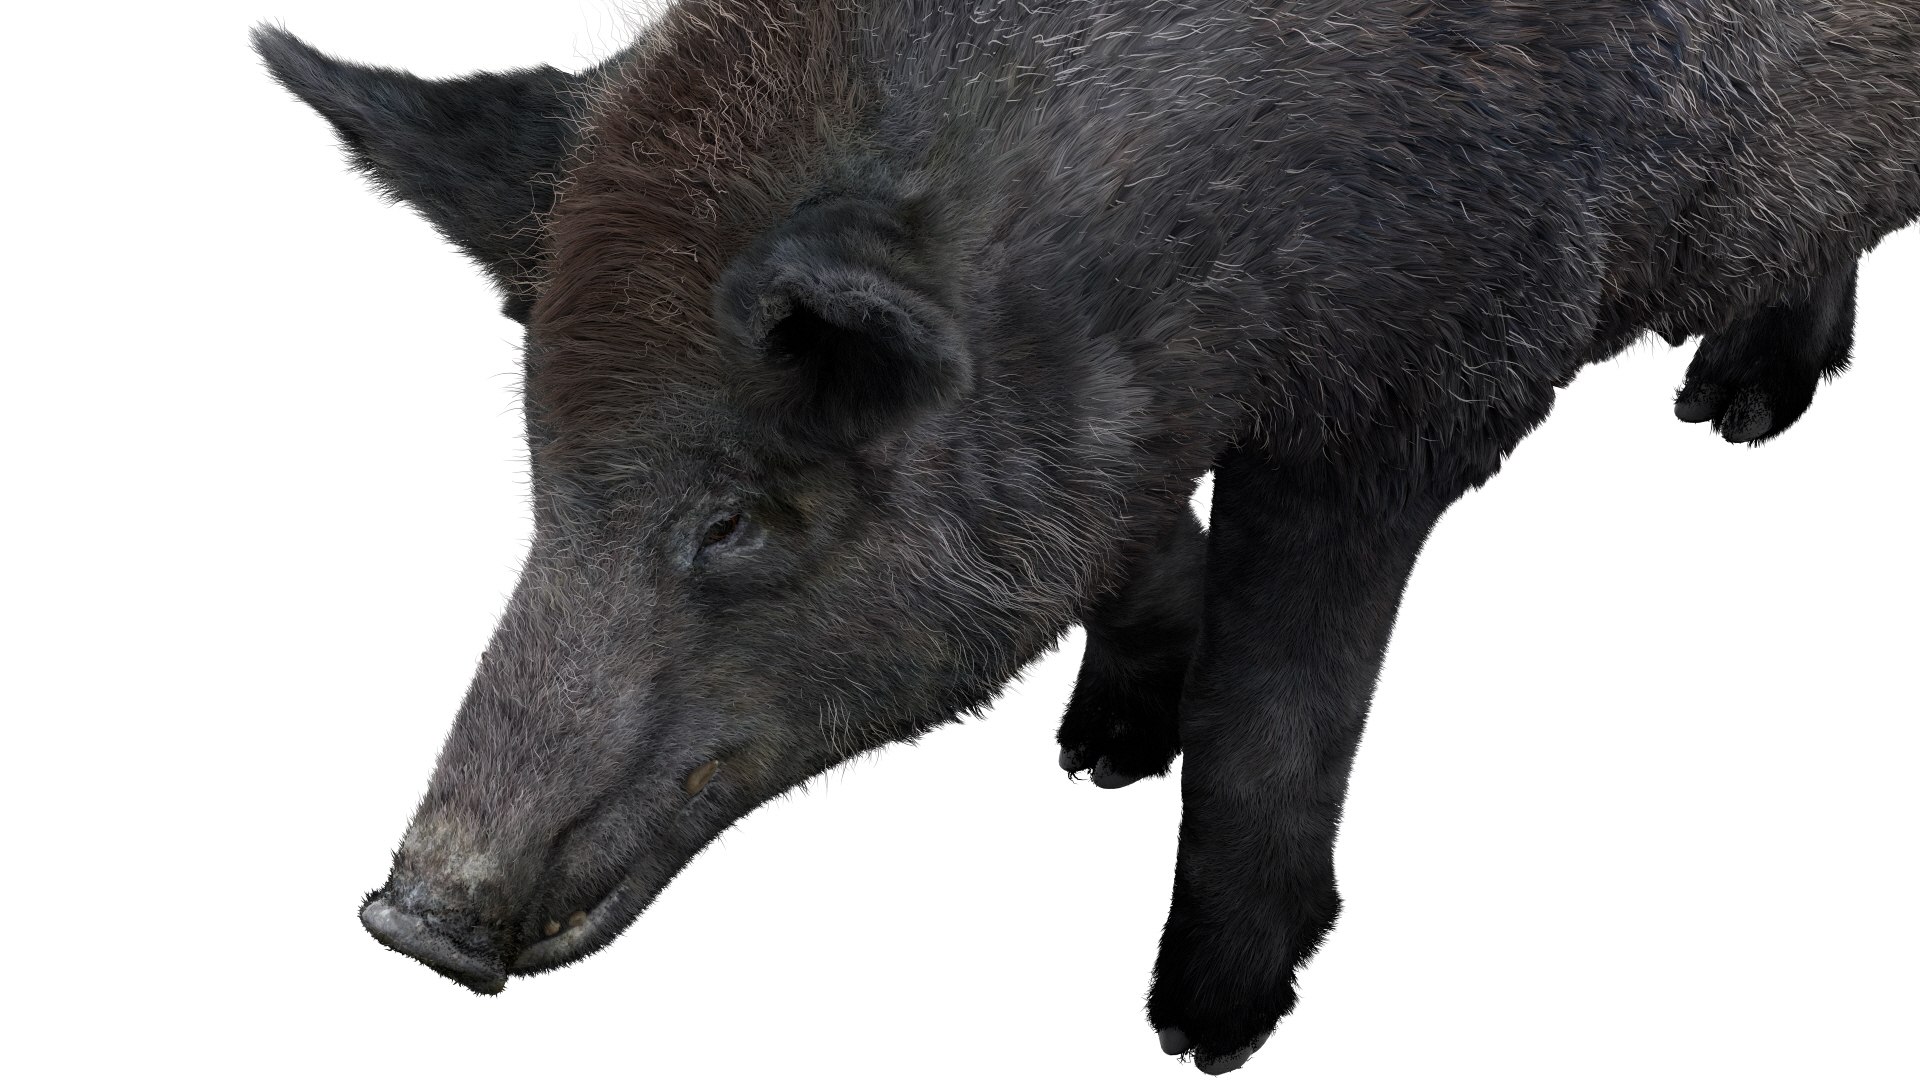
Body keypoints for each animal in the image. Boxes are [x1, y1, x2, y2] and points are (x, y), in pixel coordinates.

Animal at [255, 1, 1920, 1072]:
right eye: (543, 472)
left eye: (732, 518)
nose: (406, 916)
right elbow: (1124, 562)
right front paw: (1097, 759)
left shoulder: (1409, 398)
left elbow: (1273, 721)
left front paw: (1200, 1029)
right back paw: (1737, 412)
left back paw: (1737, 409)